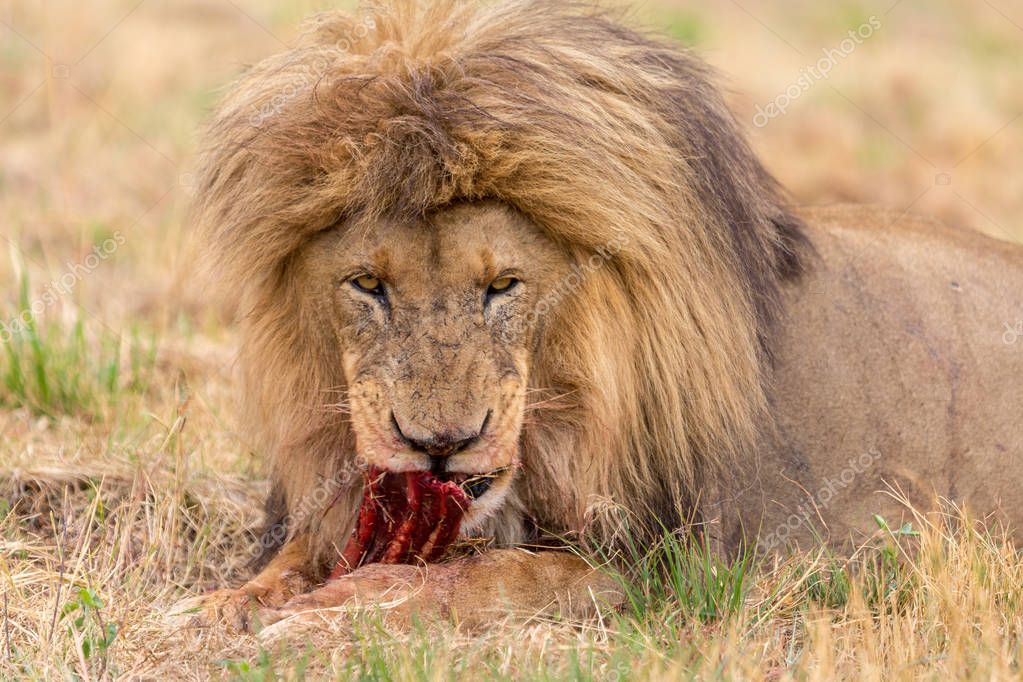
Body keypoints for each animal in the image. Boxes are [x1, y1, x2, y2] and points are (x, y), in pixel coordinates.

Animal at [175, 0, 1023, 631]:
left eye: (503, 285)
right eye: (367, 285)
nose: (440, 447)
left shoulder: (665, 571)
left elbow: (492, 575)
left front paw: (345, 603)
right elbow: (295, 557)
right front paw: (228, 603)